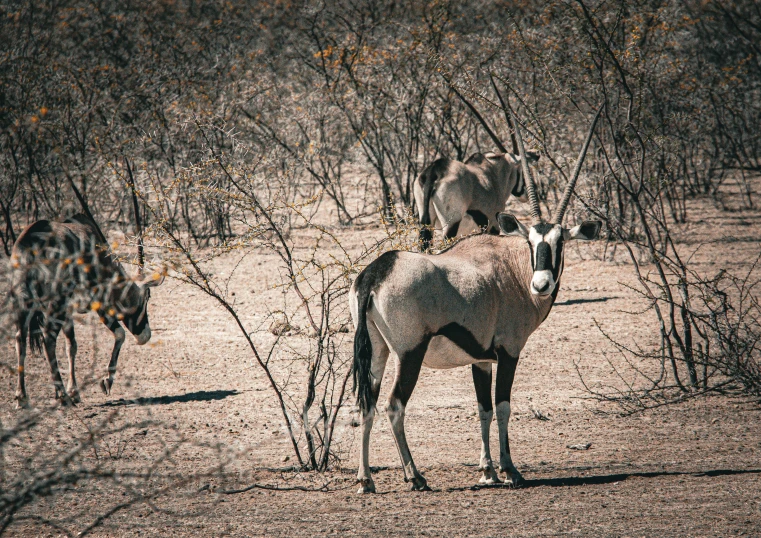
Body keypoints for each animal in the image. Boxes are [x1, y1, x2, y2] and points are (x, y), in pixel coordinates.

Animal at [9, 214, 165, 406]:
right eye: (146, 298)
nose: (145, 336)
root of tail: (31, 246)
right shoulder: (98, 302)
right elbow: (120, 334)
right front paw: (106, 381)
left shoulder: (69, 311)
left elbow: (71, 346)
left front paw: (74, 391)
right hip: (57, 304)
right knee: (49, 339)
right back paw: (62, 395)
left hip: (22, 303)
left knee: (20, 340)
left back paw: (21, 396)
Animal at [348, 103, 604, 490]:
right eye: (531, 241)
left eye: (559, 242)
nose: (541, 285)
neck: (512, 270)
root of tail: (376, 272)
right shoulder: (508, 352)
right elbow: (502, 406)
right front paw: (510, 470)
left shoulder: (480, 359)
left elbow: (482, 408)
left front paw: (487, 471)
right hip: (409, 353)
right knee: (394, 405)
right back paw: (415, 476)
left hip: (377, 350)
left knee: (368, 404)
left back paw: (366, 479)